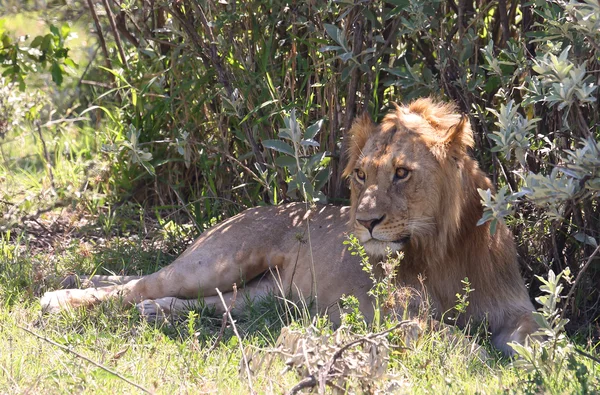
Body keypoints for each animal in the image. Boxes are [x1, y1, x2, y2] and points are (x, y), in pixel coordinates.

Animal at [43, 98, 540, 356]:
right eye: (362, 175)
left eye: (402, 173)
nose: (364, 223)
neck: (441, 247)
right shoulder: (391, 315)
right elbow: (449, 335)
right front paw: (477, 355)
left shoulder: (513, 303)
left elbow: (535, 329)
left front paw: (535, 356)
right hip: (216, 261)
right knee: (136, 284)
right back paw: (60, 300)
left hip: (267, 293)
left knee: (214, 304)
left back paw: (156, 312)